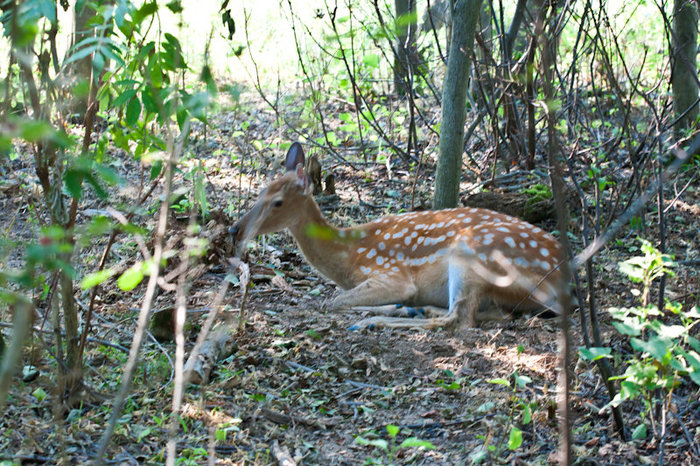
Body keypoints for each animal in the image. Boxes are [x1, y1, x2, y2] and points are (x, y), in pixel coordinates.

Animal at [231, 144, 568, 330]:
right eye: (260, 191)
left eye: (277, 202)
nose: (236, 229)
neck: (347, 255)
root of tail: (562, 281)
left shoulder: (390, 273)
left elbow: (333, 302)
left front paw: (384, 309)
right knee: (494, 315)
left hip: (471, 255)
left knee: (459, 320)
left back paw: (374, 320)